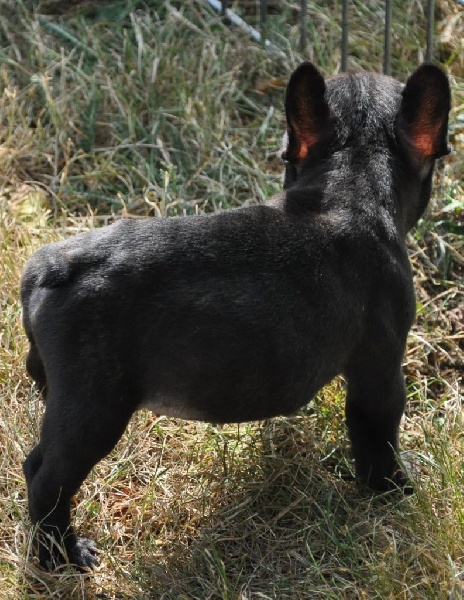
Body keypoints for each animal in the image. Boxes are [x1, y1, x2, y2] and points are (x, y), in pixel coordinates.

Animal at [20, 63, 450, 568]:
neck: (352, 181)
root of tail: (49, 269)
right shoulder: (380, 369)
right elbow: (377, 437)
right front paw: (396, 493)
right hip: (96, 405)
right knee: (50, 479)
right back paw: (62, 555)